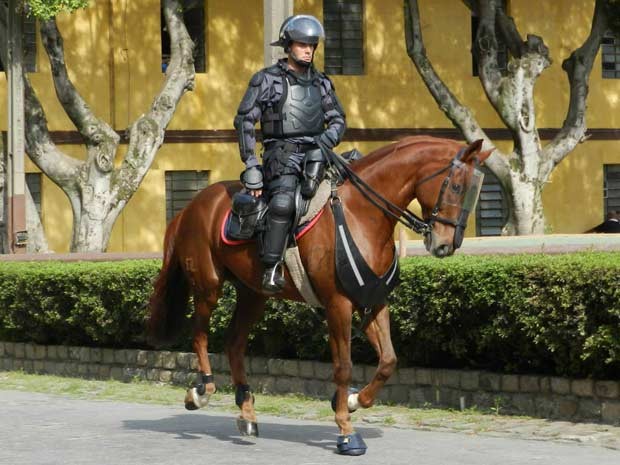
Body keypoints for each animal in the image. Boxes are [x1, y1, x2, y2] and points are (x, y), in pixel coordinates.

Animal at [148, 134, 492, 454]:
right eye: (457, 186)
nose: (445, 244)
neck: (360, 215)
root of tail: (189, 208)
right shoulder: (338, 305)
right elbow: (343, 367)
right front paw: (346, 431)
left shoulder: (373, 302)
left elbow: (388, 362)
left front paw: (353, 400)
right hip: (208, 287)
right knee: (200, 336)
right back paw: (201, 392)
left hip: (253, 294)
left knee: (233, 343)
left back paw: (247, 413)